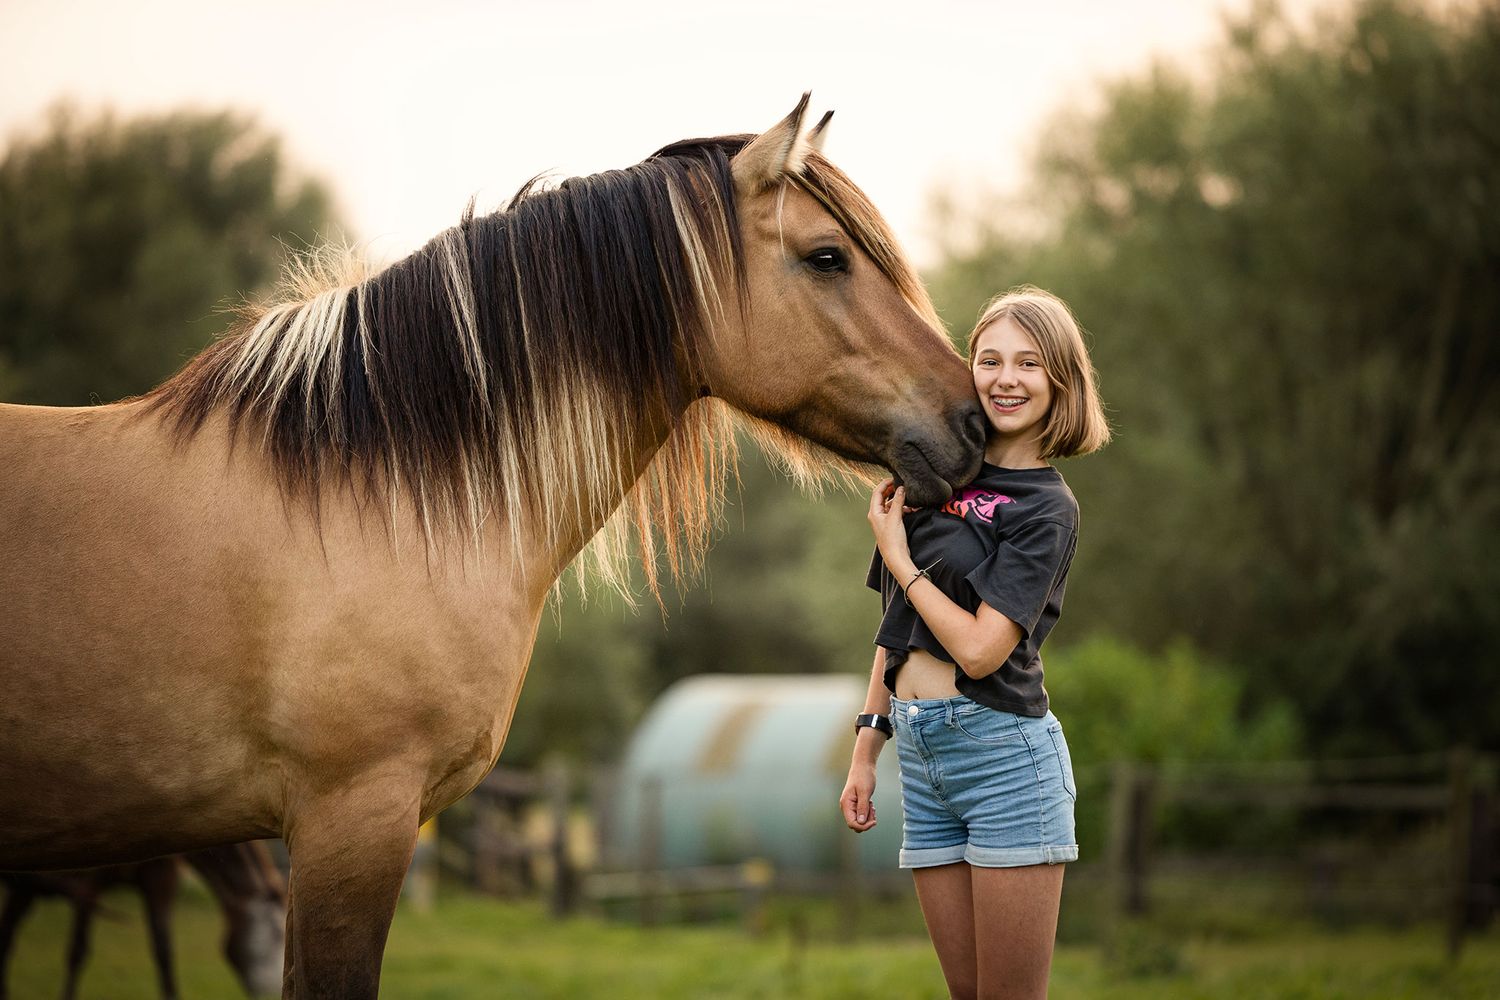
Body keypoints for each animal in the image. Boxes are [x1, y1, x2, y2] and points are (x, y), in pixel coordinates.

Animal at [0, 841, 285, 998]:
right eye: (279, 934)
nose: (272, 991)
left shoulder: (161, 879)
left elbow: (164, 953)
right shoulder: (89, 883)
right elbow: (77, 952)